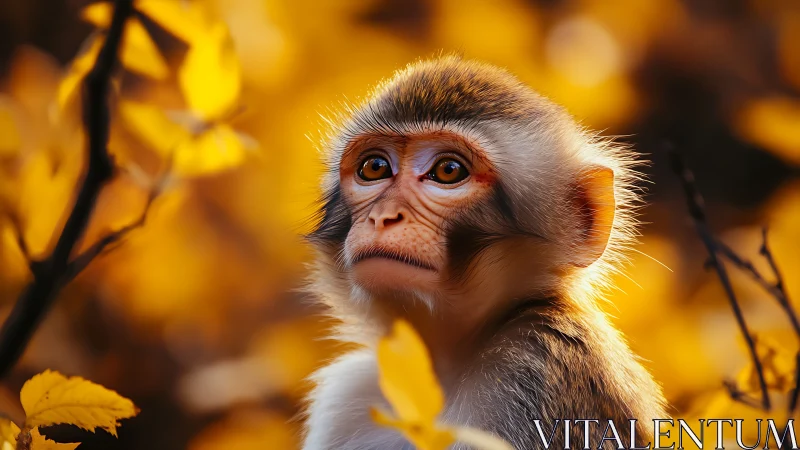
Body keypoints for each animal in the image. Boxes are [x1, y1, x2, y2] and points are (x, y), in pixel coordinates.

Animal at [301, 55, 667, 450]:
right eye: (375, 167)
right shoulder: (348, 397)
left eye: (448, 171)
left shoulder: (532, 367)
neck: (444, 369)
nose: (383, 216)